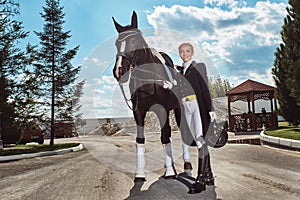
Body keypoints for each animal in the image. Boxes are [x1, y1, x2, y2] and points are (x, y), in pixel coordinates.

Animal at [111, 10, 180, 181]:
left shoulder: (162, 110)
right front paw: (140, 172)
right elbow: (140, 139)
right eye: (116, 43)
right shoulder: (138, 112)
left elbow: (164, 137)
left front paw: (170, 171)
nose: (119, 71)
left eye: (134, 40)